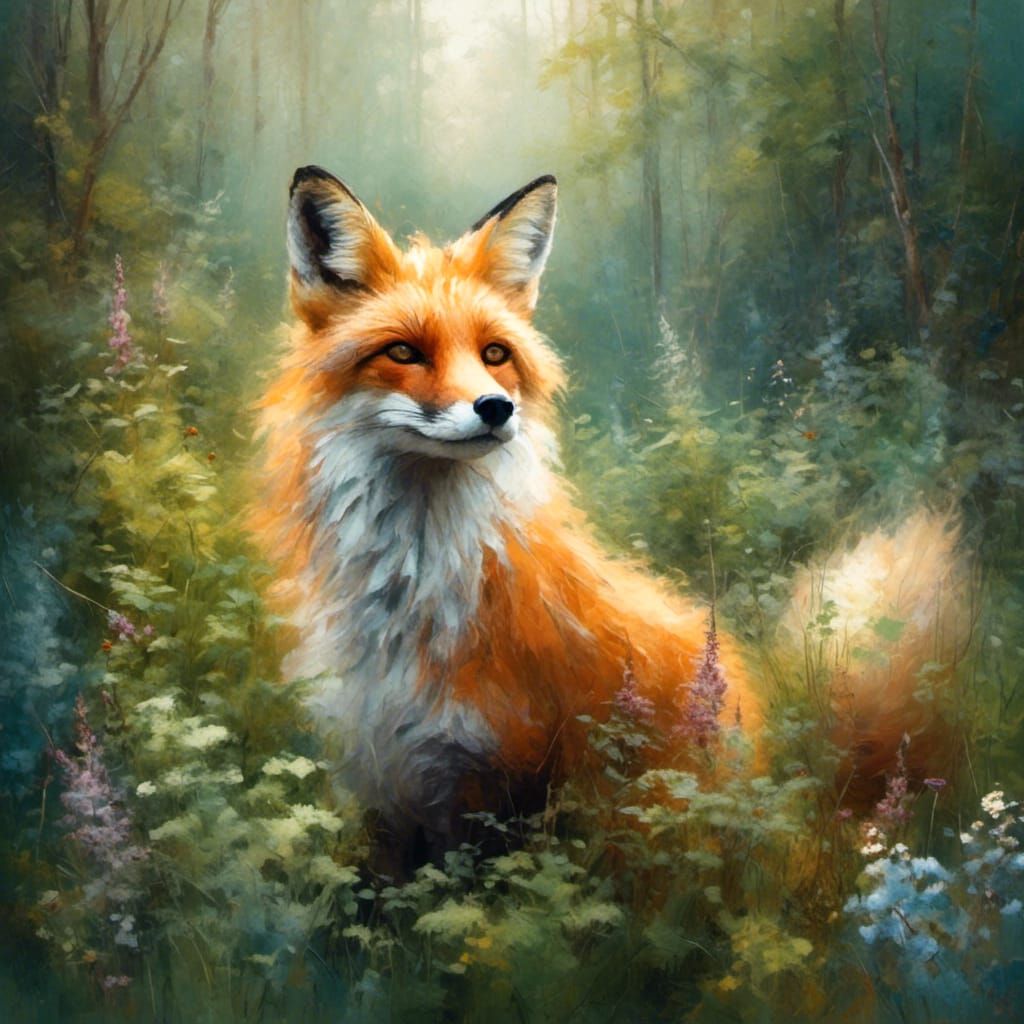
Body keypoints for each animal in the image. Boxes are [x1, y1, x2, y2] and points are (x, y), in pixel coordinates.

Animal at [254, 166, 968, 859]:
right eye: (403, 352)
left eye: (494, 354)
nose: (495, 409)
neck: (414, 593)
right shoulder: (380, 782)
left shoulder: (492, 782)